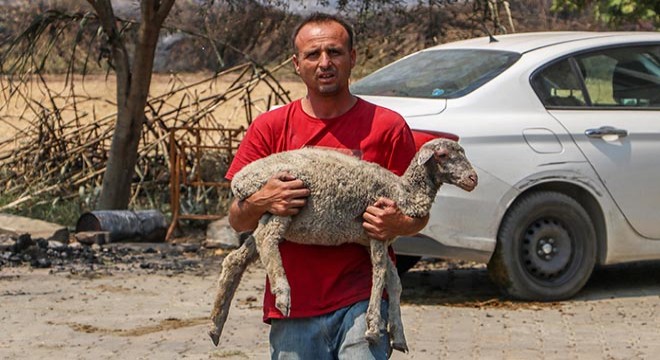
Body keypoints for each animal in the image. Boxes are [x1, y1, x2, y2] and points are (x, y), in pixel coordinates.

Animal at [209, 138, 476, 352]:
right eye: (443, 155)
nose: (473, 179)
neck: (404, 192)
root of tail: (240, 179)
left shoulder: (375, 237)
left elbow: (395, 282)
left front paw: (398, 335)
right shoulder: (376, 231)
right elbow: (379, 274)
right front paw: (372, 327)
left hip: (267, 211)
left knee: (236, 258)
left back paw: (215, 324)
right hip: (284, 200)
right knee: (267, 239)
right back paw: (283, 293)